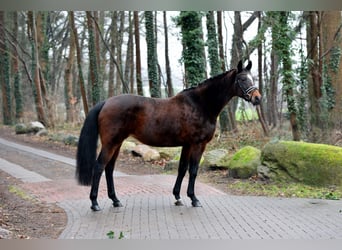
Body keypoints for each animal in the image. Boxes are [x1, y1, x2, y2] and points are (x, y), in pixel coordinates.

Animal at [76, 60, 260, 211]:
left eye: (253, 78)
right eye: (242, 79)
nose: (257, 98)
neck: (201, 104)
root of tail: (106, 102)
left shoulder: (187, 145)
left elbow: (182, 169)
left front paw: (178, 197)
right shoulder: (198, 144)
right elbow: (193, 170)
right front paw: (194, 199)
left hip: (118, 143)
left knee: (109, 168)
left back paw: (115, 200)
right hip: (110, 143)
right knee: (99, 167)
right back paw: (95, 203)